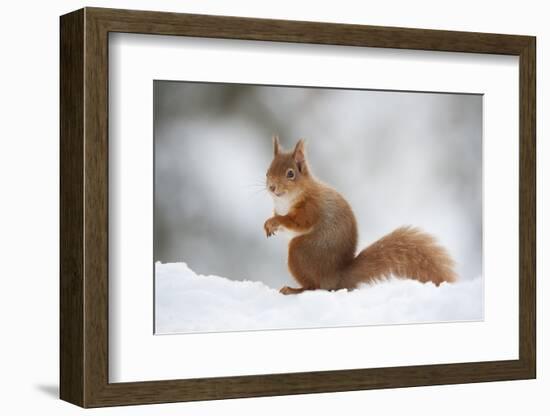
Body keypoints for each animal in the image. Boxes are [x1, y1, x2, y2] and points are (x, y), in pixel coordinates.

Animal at [266, 136, 460, 296]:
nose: (271, 187)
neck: (286, 199)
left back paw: (294, 289)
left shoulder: (311, 208)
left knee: (314, 286)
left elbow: (297, 222)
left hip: (300, 252)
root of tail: (336, 277)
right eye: (268, 171)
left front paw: (274, 221)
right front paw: (269, 226)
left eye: (290, 174)